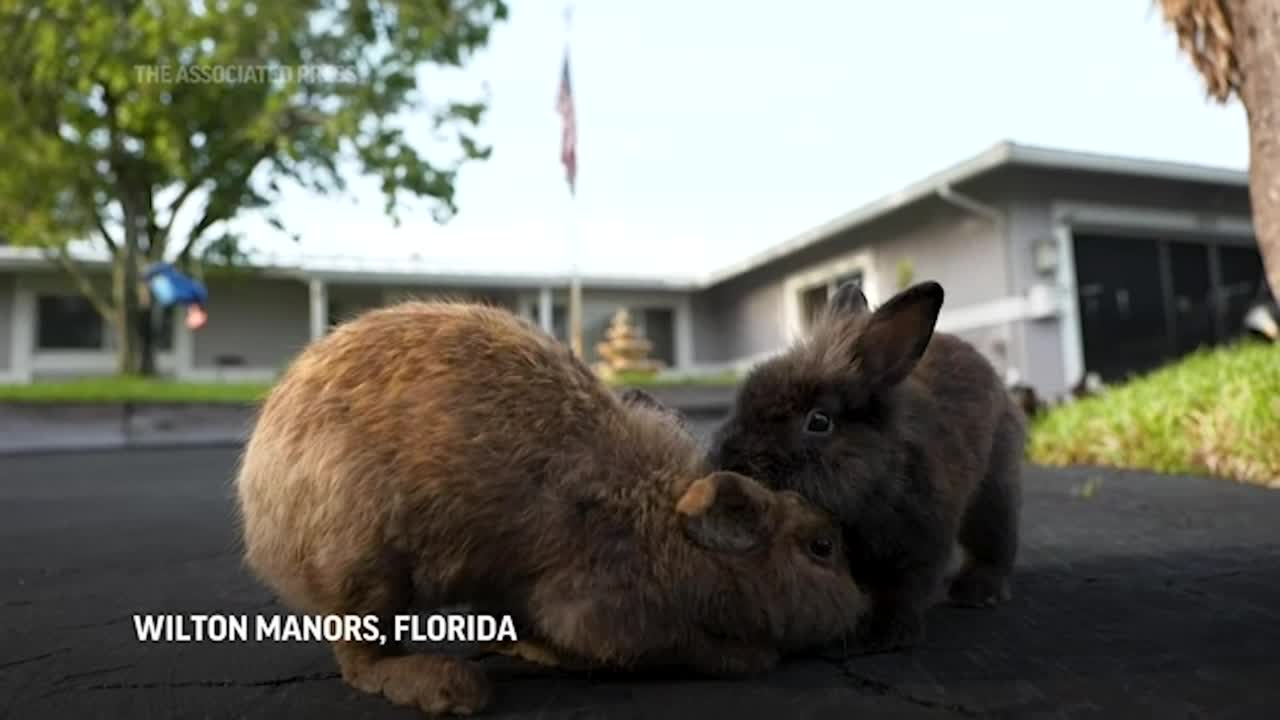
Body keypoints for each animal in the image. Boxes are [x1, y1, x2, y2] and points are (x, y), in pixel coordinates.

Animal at [235, 297, 865, 712]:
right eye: (822, 546)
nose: (862, 609)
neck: (666, 528)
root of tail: (259, 508)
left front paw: (531, 649)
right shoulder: (604, 610)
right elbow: (680, 646)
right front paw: (751, 659)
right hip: (364, 564)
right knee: (361, 657)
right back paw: (447, 685)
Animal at [706, 280, 1024, 655]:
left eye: (819, 422)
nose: (727, 460)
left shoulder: (919, 545)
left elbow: (901, 591)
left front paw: (880, 634)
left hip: (994, 489)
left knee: (996, 539)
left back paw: (978, 590)